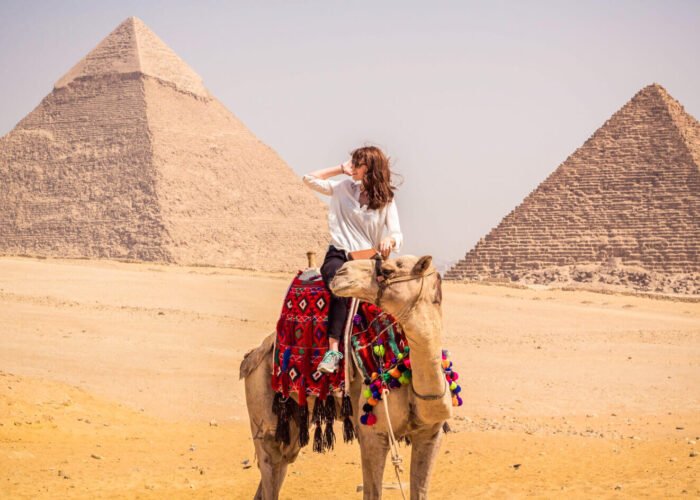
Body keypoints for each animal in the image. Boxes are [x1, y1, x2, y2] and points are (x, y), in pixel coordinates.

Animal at [240, 255, 452, 499]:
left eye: (388, 271)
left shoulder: (431, 434)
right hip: (261, 401)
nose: (342, 273)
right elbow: (372, 493)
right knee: (270, 459)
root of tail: (253, 355)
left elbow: (421, 491)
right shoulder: (372, 435)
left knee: (282, 461)